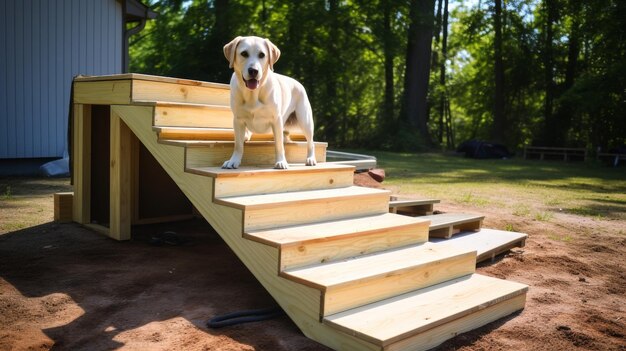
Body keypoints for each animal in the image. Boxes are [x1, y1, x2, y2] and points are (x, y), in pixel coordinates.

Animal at [221, 36, 316, 170]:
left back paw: (310, 159)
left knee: (310, 142)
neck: (253, 94)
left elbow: (279, 145)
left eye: (262, 55)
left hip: (305, 120)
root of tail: (299, 83)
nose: (253, 71)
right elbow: (238, 145)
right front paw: (233, 160)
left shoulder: (276, 120)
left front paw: (281, 161)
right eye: (244, 53)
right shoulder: (238, 120)